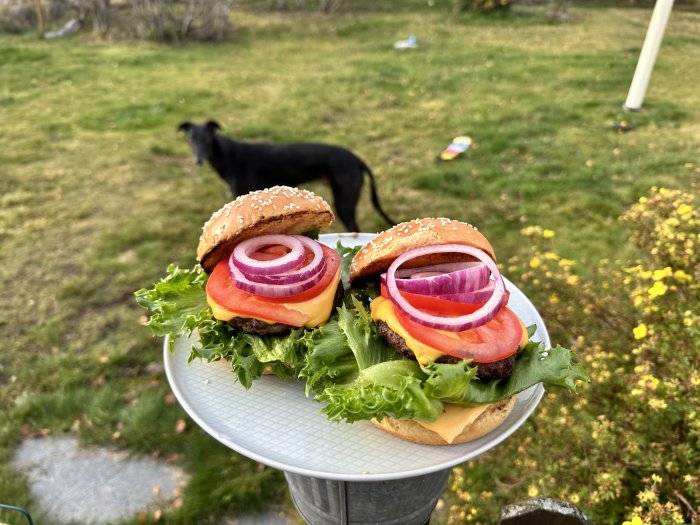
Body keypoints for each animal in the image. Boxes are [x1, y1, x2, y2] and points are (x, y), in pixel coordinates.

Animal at [178, 121, 396, 231]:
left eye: (207, 139)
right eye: (191, 139)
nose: (198, 160)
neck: (228, 156)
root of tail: (357, 159)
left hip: (345, 201)